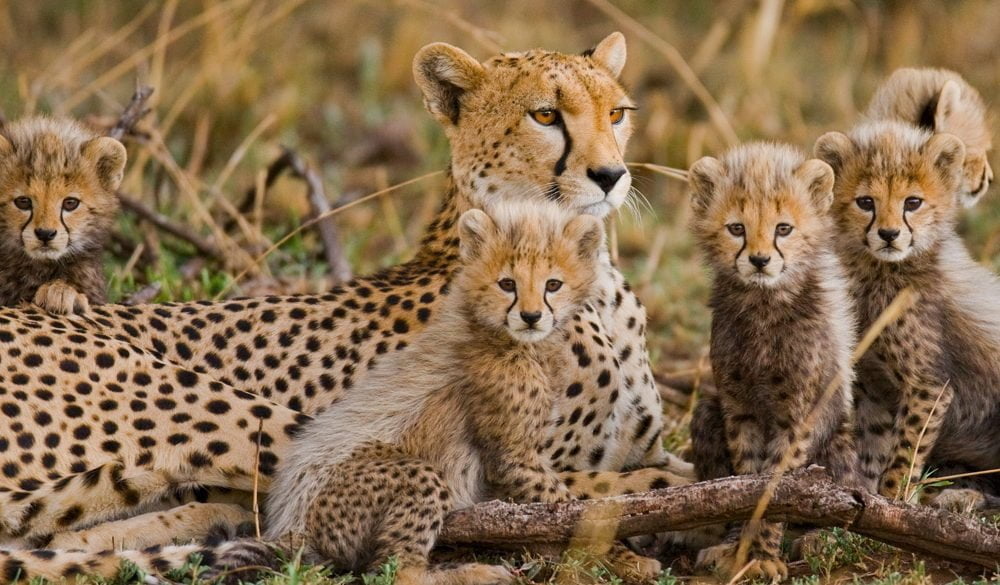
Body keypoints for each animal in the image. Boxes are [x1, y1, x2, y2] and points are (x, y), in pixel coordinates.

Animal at [686, 143, 859, 582]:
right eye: (736, 228)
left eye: (783, 229)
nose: (760, 260)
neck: (764, 305)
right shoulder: (738, 407)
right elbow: (744, 483)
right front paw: (741, 550)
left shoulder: (796, 417)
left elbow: (776, 488)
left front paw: (763, 554)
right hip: (707, 411)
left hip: (838, 442)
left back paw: (820, 538)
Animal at [815, 120, 1000, 510]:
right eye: (866, 202)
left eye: (912, 202)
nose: (888, 234)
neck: (880, 273)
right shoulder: (874, 385)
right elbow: (875, 446)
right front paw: (869, 499)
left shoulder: (928, 385)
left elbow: (904, 453)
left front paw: (893, 502)